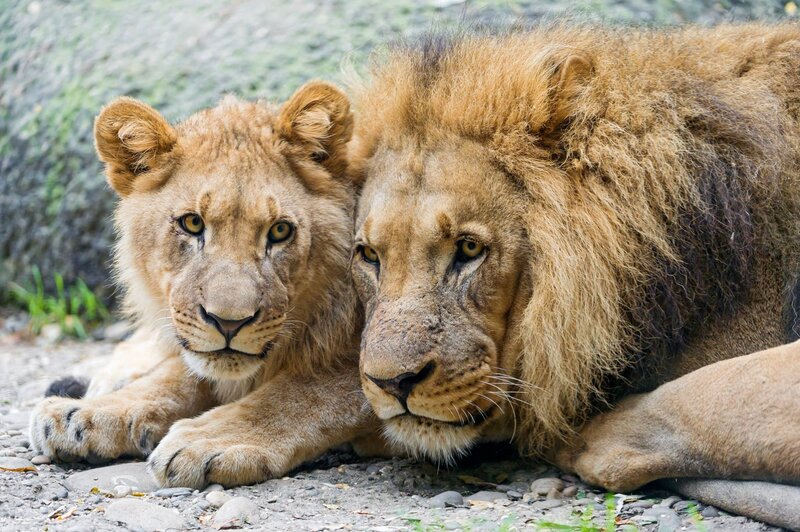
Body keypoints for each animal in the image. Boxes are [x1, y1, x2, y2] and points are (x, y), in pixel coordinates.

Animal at [29, 82, 382, 488]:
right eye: (192, 223)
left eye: (280, 231)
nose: (229, 323)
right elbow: (178, 377)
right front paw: (85, 413)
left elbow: (307, 392)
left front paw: (208, 440)